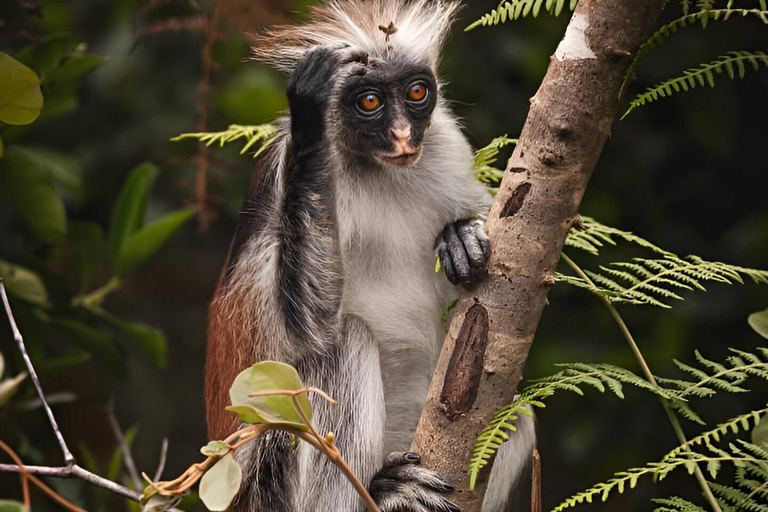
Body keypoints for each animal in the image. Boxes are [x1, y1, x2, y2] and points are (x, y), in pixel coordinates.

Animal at [207, 1, 536, 512]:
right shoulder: (280, 175)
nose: (402, 135)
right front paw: (310, 105)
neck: (379, 169)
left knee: (515, 411)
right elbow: (305, 330)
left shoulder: (443, 143)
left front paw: (460, 237)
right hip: (265, 480)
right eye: (369, 102)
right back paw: (383, 491)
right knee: (341, 343)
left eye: (416, 92)